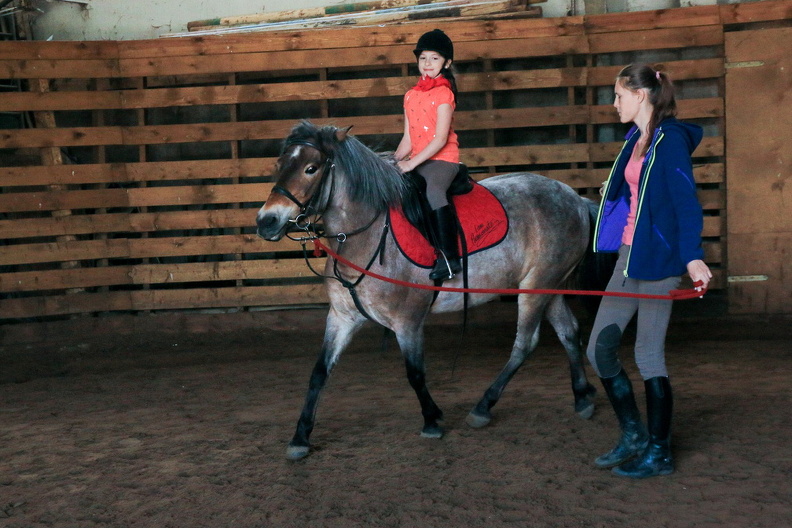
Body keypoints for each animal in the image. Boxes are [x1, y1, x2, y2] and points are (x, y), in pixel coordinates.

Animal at [256, 121, 596, 460]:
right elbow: (319, 373)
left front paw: (432, 420)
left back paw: (483, 407)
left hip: (536, 287)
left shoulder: (408, 321)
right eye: (279, 165)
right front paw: (300, 437)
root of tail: (576, 199)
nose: (266, 221)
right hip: (548, 285)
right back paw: (582, 397)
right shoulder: (342, 318)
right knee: (568, 330)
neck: (366, 235)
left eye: (311, 168)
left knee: (525, 343)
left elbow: (415, 373)